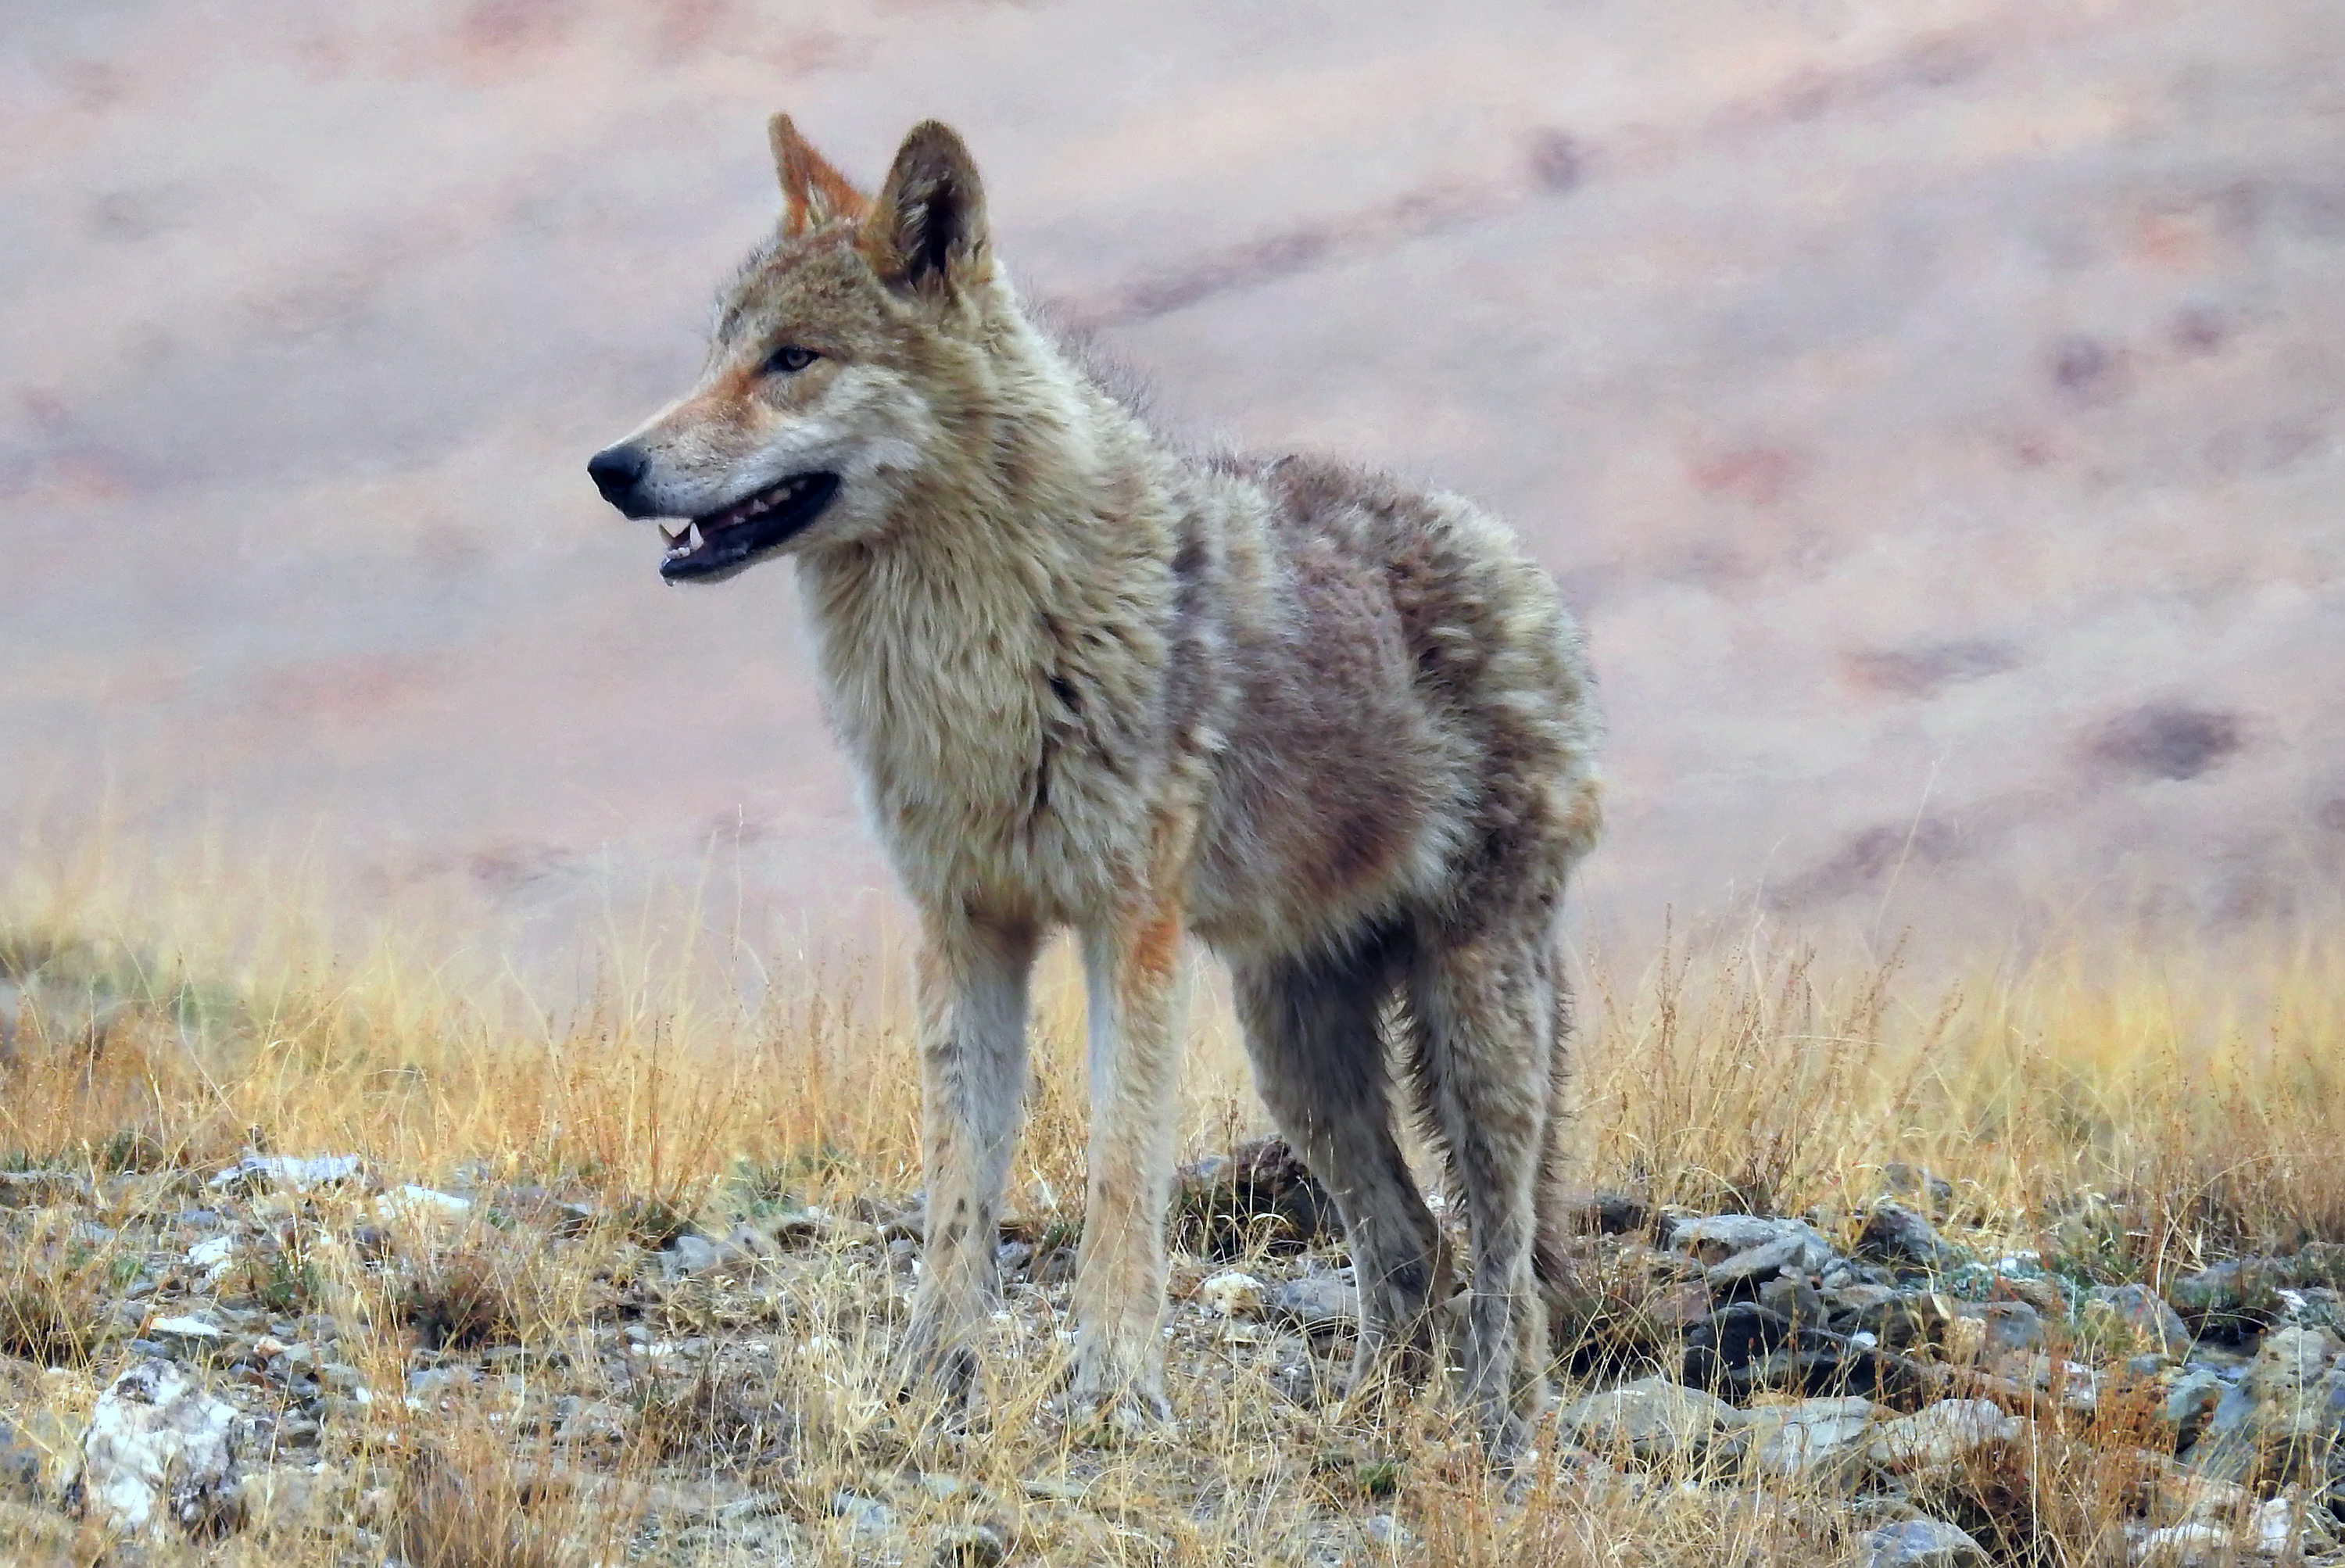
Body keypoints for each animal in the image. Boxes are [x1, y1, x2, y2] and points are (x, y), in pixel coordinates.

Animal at [596, 119, 1604, 1453]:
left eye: (793, 360)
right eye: (717, 352)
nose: (611, 466)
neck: (976, 653)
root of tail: (1515, 557)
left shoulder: (1130, 932)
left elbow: (1121, 1172)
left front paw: (1117, 1390)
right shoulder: (965, 930)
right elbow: (955, 1184)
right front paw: (929, 1380)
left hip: (1474, 1014)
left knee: (1504, 1248)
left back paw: (1501, 1428)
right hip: (1295, 1046)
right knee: (1408, 1241)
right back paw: (1363, 1428)